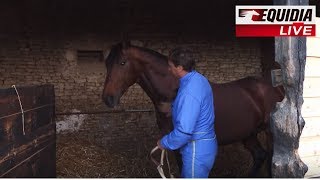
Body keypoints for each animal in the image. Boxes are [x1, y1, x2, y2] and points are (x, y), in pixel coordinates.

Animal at [101, 41, 284, 177]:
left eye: (122, 62)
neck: (173, 93)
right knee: (260, 156)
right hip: (248, 134)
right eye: (107, 64)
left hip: (269, 133)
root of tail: (276, 89)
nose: (107, 98)